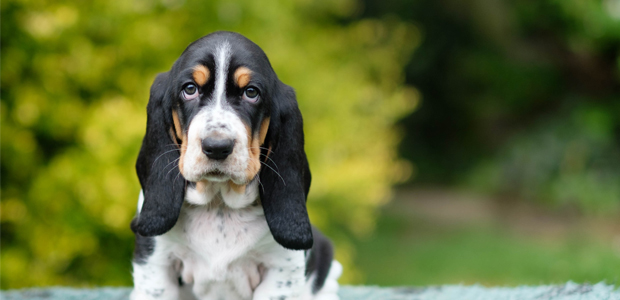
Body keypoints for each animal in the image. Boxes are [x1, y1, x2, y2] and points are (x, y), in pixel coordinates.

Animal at [130, 32, 342, 300]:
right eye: (190, 89)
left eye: (251, 92)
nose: (217, 147)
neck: (219, 203)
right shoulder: (156, 262)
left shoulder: (282, 269)